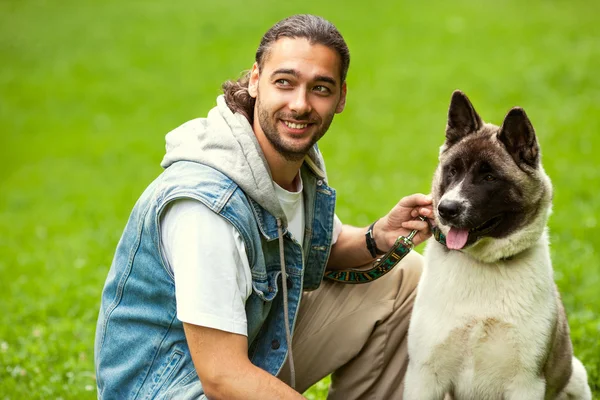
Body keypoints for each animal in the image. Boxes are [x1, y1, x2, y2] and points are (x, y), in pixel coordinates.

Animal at [404, 90, 592, 400]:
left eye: (489, 177)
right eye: (452, 171)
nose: (446, 209)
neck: (484, 264)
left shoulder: (526, 383)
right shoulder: (424, 376)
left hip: (576, 376)